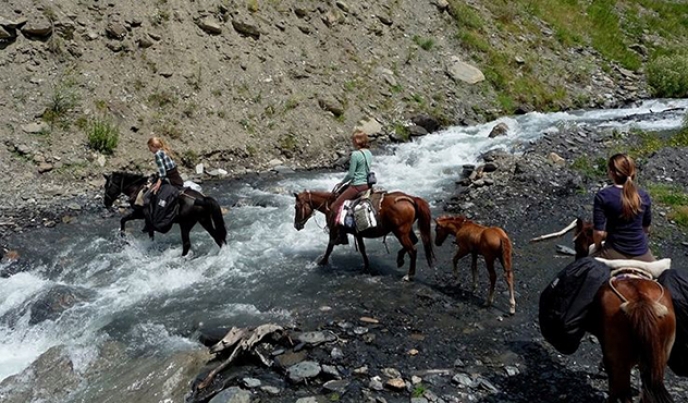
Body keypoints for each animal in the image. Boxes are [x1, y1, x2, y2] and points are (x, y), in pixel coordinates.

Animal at [292, 190, 432, 280]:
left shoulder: (333, 231)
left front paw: (322, 262)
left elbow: (329, 247)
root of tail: (411, 199)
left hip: (400, 232)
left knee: (412, 250)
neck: (330, 205)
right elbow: (363, 250)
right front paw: (366, 267)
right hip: (406, 230)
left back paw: (409, 275)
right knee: (414, 241)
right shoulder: (358, 233)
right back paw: (399, 259)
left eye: (296, 207)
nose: (296, 225)